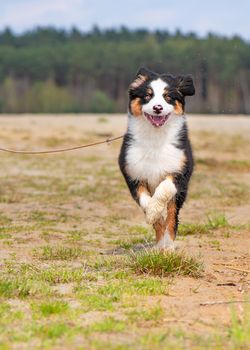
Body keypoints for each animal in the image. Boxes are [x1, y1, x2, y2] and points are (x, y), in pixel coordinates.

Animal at [118, 66, 195, 252]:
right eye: (147, 96)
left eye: (168, 97)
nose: (158, 107)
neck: (155, 139)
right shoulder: (132, 173)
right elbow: (145, 200)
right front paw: (153, 213)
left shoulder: (180, 170)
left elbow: (164, 189)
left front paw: (155, 211)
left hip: (180, 195)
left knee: (172, 217)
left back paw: (167, 246)